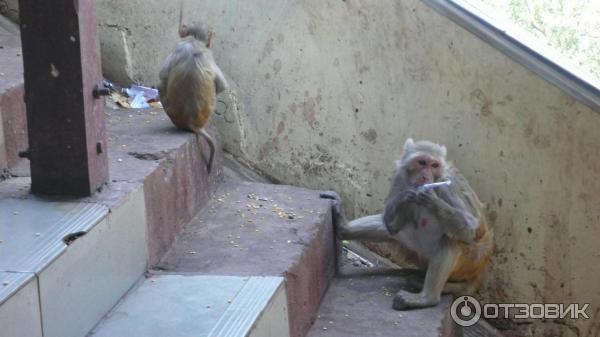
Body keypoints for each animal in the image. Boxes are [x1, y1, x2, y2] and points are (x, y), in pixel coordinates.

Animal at [157, 19, 227, 172]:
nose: (210, 43)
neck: (195, 41)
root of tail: (192, 122)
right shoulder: (207, 53)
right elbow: (222, 86)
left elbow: (162, 78)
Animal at [324, 138, 492, 308]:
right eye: (422, 162)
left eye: (434, 165)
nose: (425, 176)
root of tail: (480, 271)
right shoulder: (400, 176)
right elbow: (390, 223)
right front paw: (405, 197)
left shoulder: (447, 186)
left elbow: (470, 228)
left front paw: (431, 199)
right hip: (419, 253)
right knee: (395, 230)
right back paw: (343, 228)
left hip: (470, 261)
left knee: (451, 240)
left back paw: (427, 298)